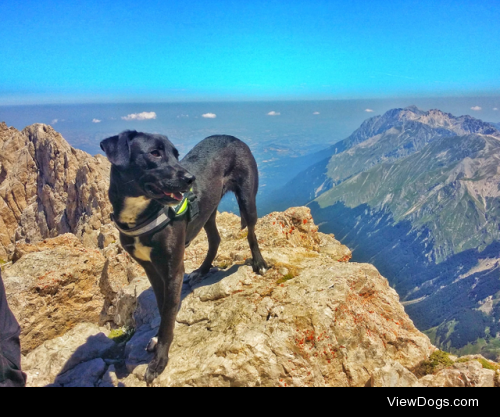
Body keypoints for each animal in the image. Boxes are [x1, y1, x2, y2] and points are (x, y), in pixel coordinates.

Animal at [99, 131, 268, 384]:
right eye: (154, 153)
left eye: (176, 154)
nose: (190, 179)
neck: (140, 214)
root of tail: (231, 136)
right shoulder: (151, 269)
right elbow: (163, 309)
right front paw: (158, 339)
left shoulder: (173, 270)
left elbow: (169, 314)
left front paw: (159, 361)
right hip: (209, 209)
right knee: (215, 239)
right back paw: (203, 270)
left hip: (247, 198)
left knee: (251, 232)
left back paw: (258, 263)